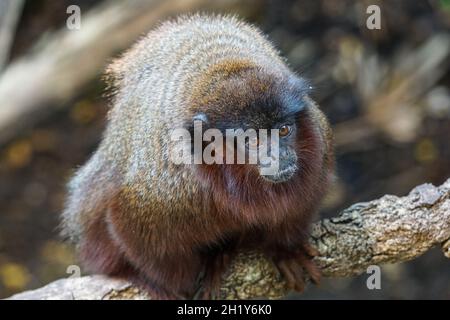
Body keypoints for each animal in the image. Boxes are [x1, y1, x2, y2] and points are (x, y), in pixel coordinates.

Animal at [60, 14, 334, 300]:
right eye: (251, 140)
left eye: (283, 130)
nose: (279, 156)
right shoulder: (168, 190)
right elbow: (131, 228)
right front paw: (169, 287)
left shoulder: (320, 146)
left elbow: (300, 206)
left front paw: (284, 251)